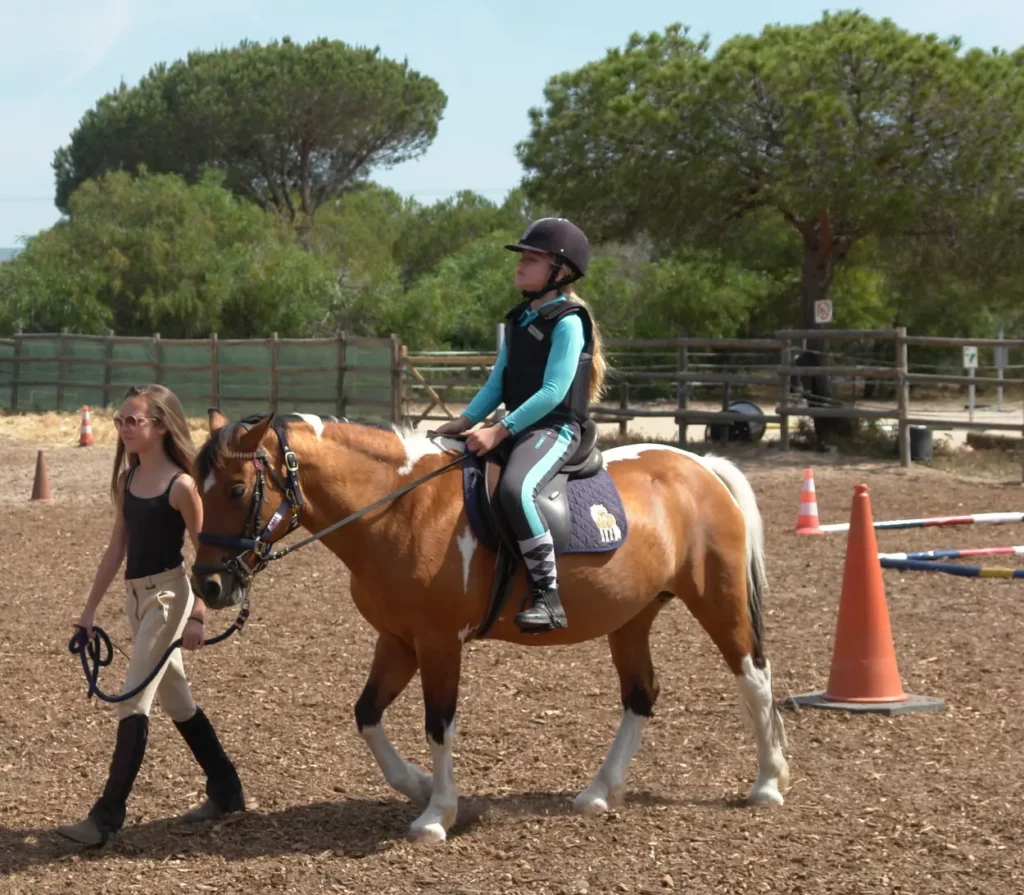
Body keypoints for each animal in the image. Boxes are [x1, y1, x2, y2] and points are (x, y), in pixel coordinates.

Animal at [192, 411, 790, 843]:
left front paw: (438, 814)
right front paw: (419, 787)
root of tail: (701, 466)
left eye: (238, 490)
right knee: (641, 694)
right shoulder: (398, 641)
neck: (399, 509)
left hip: (718, 601)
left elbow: (438, 724)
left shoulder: (438, 644)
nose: (208, 585)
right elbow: (366, 716)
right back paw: (598, 792)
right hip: (631, 618)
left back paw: (767, 783)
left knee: (754, 678)